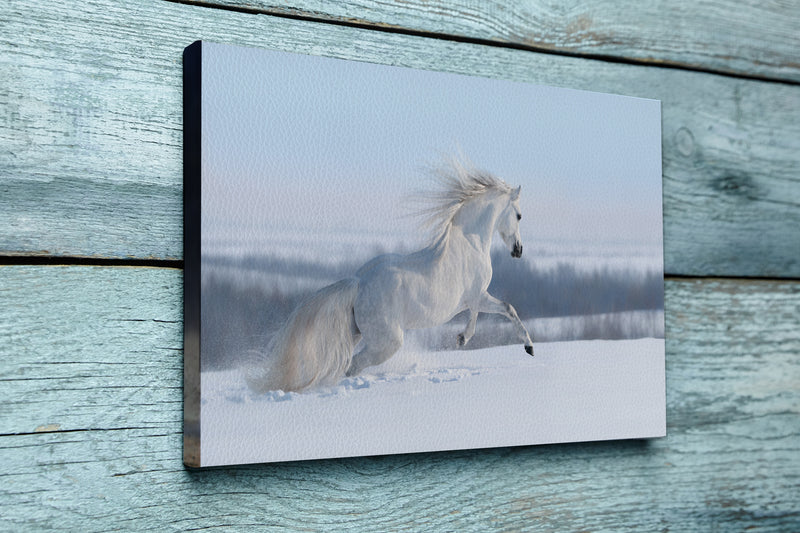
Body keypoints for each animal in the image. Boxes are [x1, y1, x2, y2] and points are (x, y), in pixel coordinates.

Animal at [248, 161, 536, 390]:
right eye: (519, 215)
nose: (518, 251)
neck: (469, 242)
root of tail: (359, 283)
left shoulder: (474, 299)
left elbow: (491, 312)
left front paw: (463, 338)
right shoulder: (478, 296)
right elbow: (506, 309)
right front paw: (527, 346)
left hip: (357, 334)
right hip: (387, 342)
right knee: (354, 365)